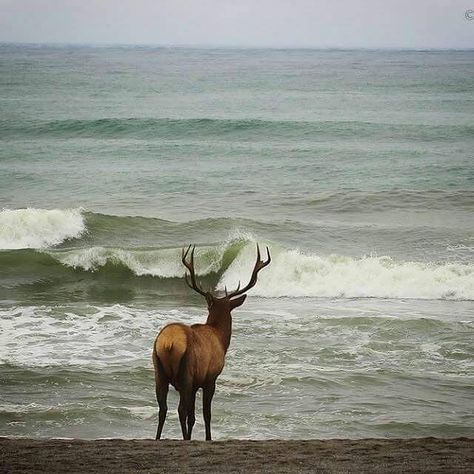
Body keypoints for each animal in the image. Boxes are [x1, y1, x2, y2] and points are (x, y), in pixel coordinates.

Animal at [152, 244, 270, 440]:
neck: (221, 339)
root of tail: (168, 343)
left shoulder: (195, 384)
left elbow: (193, 416)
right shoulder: (210, 378)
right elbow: (206, 414)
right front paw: (208, 438)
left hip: (158, 370)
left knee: (163, 409)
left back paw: (158, 438)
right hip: (186, 372)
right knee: (180, 410)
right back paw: (184, 438)